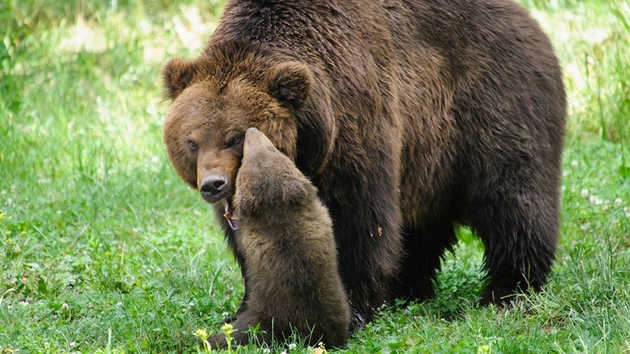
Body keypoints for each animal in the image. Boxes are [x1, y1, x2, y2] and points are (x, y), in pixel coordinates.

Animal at [162, 0, 568, 326]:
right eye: (192, 141)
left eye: (235, 137)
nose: (214, 185)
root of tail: (530, 21)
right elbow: (252, 244)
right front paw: (247, 311)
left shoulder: (357, 122)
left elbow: (361, 223)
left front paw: (355, 310)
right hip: (429, 161)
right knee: (422, 226)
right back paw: (409, 289)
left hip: (492, 107)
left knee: (512, 200)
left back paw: (508, 291)